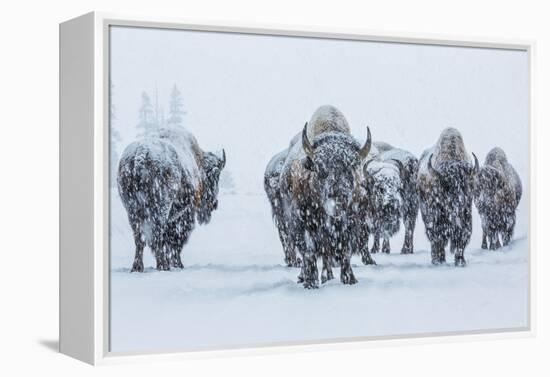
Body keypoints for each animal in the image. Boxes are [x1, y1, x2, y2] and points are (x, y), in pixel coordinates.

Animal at [118, 128, 226, 272]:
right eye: (216, 176)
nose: (214, 204)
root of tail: (140, 155)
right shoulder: (184, 213)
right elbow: (176, 239)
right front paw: (178, 264)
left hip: (132, 210)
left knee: (139, 237)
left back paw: (138, 267)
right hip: (160, 208)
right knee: (157, 234)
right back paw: (162, 265)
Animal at [278, 106, 374, 288]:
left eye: (352, 168)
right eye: (320, 169)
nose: (337, 201)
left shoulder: (351, 222)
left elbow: (345, 251)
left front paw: (350, 279)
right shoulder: (303, 222)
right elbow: (309, 252)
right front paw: (310, 282)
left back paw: (327, 276)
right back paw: (307, 277)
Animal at [418, 128, 478, 266]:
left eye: (467, 185)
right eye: (446, 185)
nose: (459, 203)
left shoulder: (466, 217)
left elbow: (462, 237)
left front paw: (460, 262)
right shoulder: (435, 217)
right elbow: (438, 237)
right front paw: (439, 260)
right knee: (434, 239)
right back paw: (437, 259)